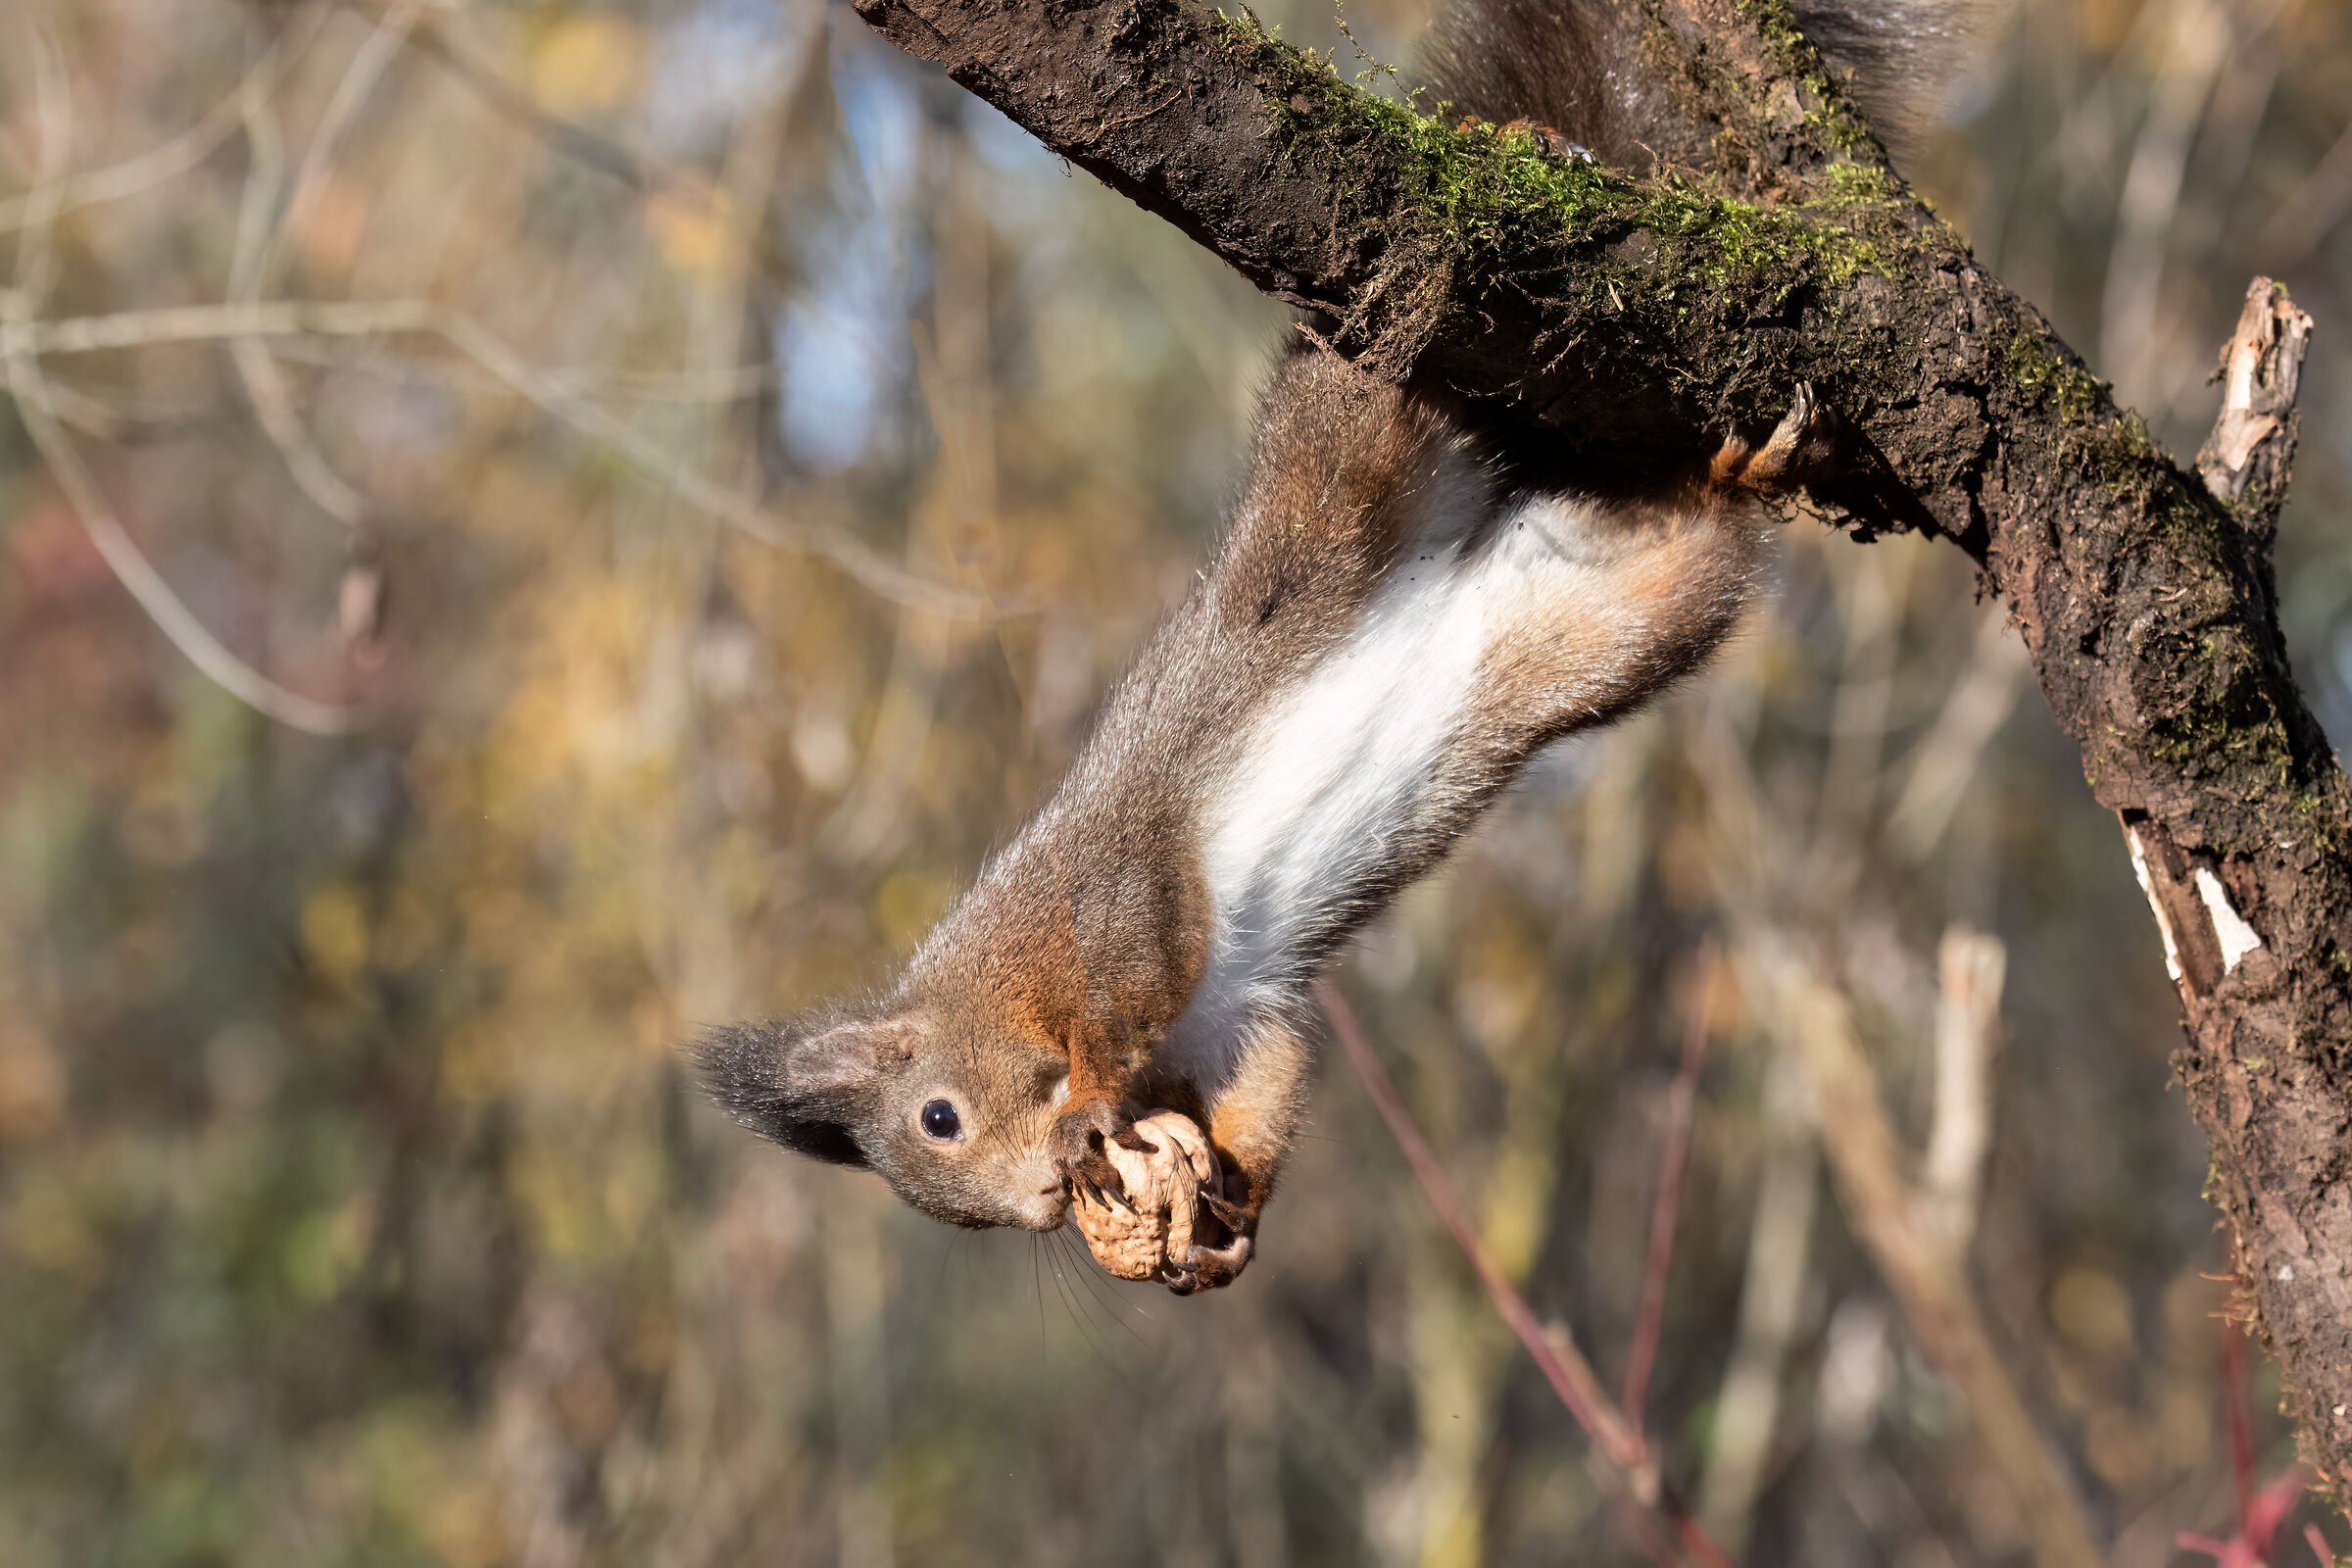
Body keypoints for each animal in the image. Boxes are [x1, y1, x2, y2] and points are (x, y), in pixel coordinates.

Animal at [699, 0, 1986, 1291]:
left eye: (938, 1117)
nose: (1039, 1205)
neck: (998, 984)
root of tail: (1487, 536)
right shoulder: (1233, 1013)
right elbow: (1269, 1073)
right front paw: (1225, 1225)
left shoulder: (1105, 885)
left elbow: (1133, 966)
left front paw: (1095, 1105)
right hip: (1603, 619)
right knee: (1690, 540)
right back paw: (1741, 468)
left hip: (1352, 453)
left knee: (1381, 374)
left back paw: (1520, 175)